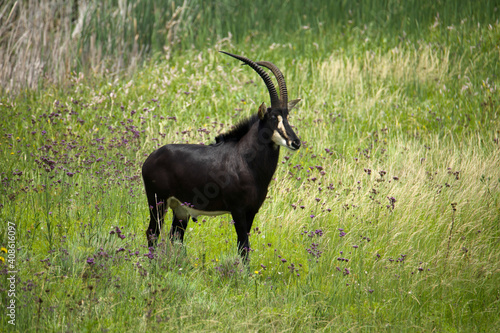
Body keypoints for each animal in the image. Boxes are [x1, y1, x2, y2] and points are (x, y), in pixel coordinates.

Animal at [143, 52, 302, 258]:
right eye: (273, 117)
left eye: (287, 116)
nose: (295, 142)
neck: (246, 161)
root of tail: (150, 159)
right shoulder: (238, 210)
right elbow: (243, 247)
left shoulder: (252, 211)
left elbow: (245, 247)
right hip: (157, 202)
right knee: (152, 233)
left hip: (180, 210)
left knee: (175, 237)